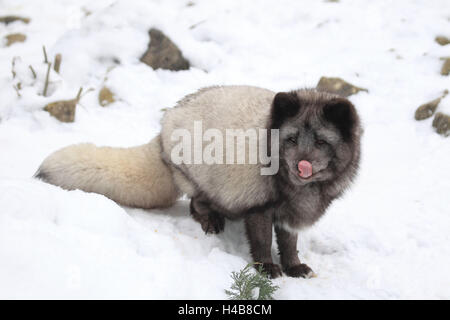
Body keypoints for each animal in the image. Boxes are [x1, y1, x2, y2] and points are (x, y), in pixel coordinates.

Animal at [37, 86, 364, 278]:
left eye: (321, 142)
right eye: (292, 139)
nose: (302, 165)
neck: (300, 190)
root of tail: (163, 128)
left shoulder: (290, 216)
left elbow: (289, 244)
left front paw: (294, 267)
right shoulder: (259, 207)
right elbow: (261, 242)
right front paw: (266, 268)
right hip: (198, 179)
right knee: (196, 203)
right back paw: (210, 220)